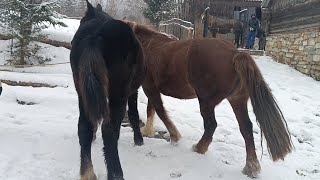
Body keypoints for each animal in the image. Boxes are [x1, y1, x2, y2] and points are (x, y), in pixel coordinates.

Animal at [70, 0, 146, 179]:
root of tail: (95, 36)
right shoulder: (132, 91)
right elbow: (133, 114)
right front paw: (138, 140)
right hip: (118, 94)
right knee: (109, 130)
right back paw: (116, 173)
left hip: (81, 92)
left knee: (84, 127)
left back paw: (88, 173)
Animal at [124, 20, 294, 177]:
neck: (147, 46)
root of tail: (235, 53)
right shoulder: (151, 89)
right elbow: (151, 109)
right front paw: (148, 131)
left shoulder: (150, 88)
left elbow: (159, 111)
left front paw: (174, 135)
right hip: (237, 100)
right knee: (246, 127)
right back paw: (251, 166)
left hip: (206, 102)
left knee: (212, 125)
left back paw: (199, 148)